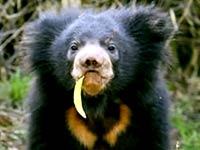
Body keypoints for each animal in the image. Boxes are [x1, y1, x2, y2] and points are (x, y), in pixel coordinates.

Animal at [22, 4, 173, 150]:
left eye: (111, 47)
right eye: (74, 46)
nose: (91, 60)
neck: (96, 103)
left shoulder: (148, 110)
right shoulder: (48, 109)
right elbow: (43, 140)